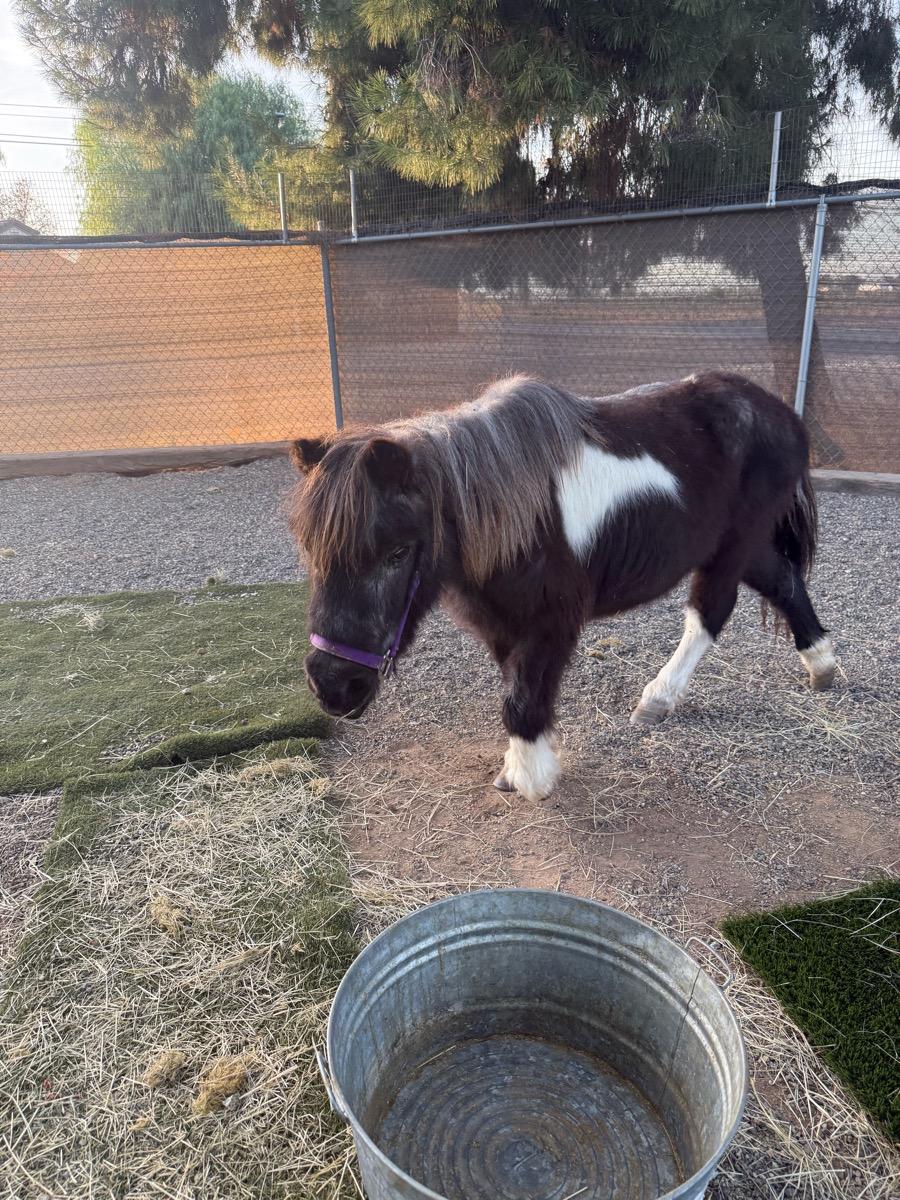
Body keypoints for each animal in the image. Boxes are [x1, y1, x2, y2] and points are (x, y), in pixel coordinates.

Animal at [288, 371, 835, 802]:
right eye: (310, 550)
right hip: (744, 545)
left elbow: (522, 700)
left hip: (733, 547)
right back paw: (823, 665)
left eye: (398, 553)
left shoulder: (551, 623)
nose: (332, 685)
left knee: (711, 612)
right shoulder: (502, 624)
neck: (516, 511)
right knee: (784, 583)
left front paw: (532, 779)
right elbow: (517, 686)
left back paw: (658, 699)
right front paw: (516, 768)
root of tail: (782, 414)